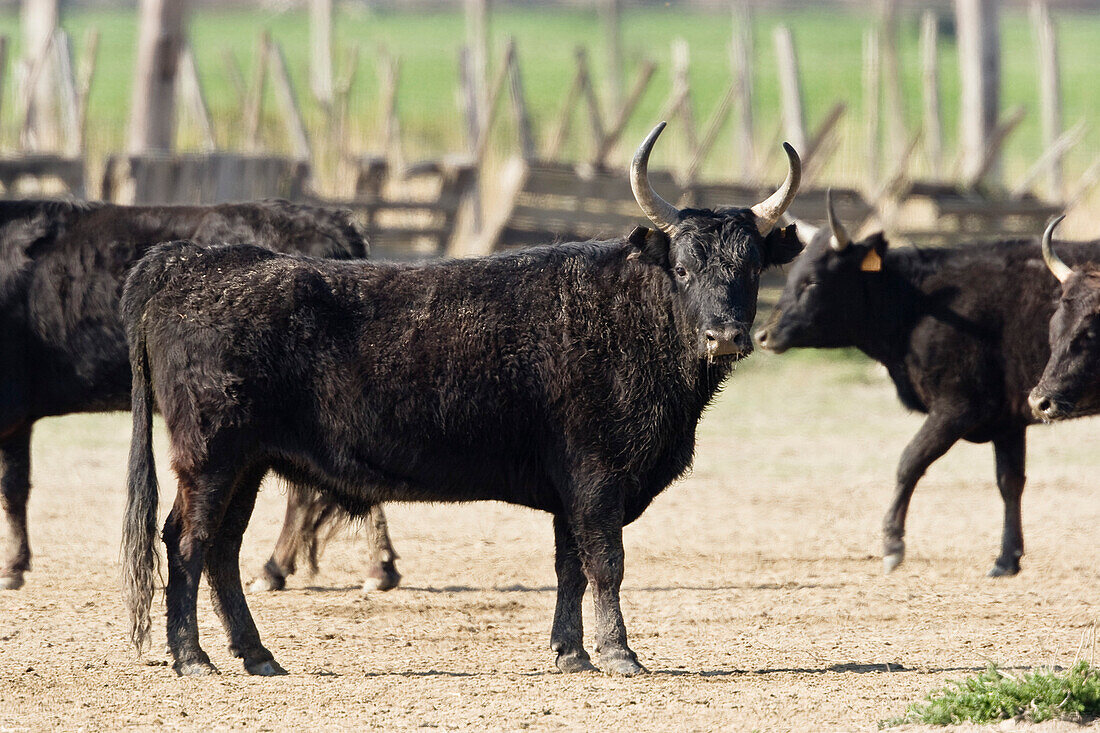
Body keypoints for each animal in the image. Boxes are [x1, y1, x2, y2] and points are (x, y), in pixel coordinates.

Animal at [0, 198, 402, 589]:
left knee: (309, 495)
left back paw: (296, 569)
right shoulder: (18, 420)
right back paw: (371, 567)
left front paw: (11, 568)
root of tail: (330, 221)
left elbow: (10, 487)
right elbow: (16, 486)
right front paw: (16, 565)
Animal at [122, 122, 809, 677]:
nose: (726, 335)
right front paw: (619, 653)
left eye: (752, 269)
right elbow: (605, 562)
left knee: (223, 549)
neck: (623, 315)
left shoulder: (570, 489)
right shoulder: (596, 477)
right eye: (685, 269)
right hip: (210, 457)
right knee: (186, 542)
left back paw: (256, 654)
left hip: (247, 464)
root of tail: (193, 262)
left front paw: (571, 652)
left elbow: (569, 566)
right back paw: (192, 657)